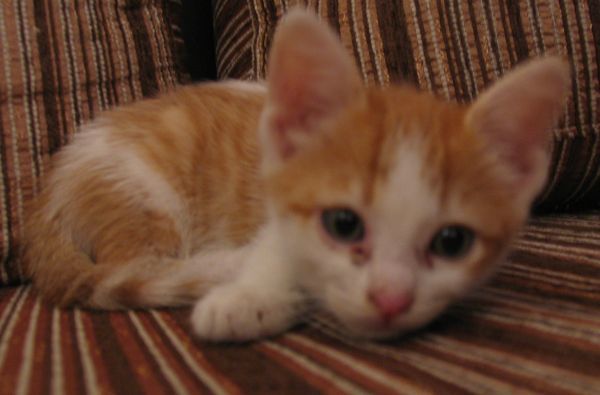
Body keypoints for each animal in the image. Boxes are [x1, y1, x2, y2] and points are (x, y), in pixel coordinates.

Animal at [21, 10, 568, 342]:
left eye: (451, 242)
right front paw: (248, 297)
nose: (392, 300)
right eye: (345, 224)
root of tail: (46, 193)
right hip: (142, 192)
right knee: (140, 264)